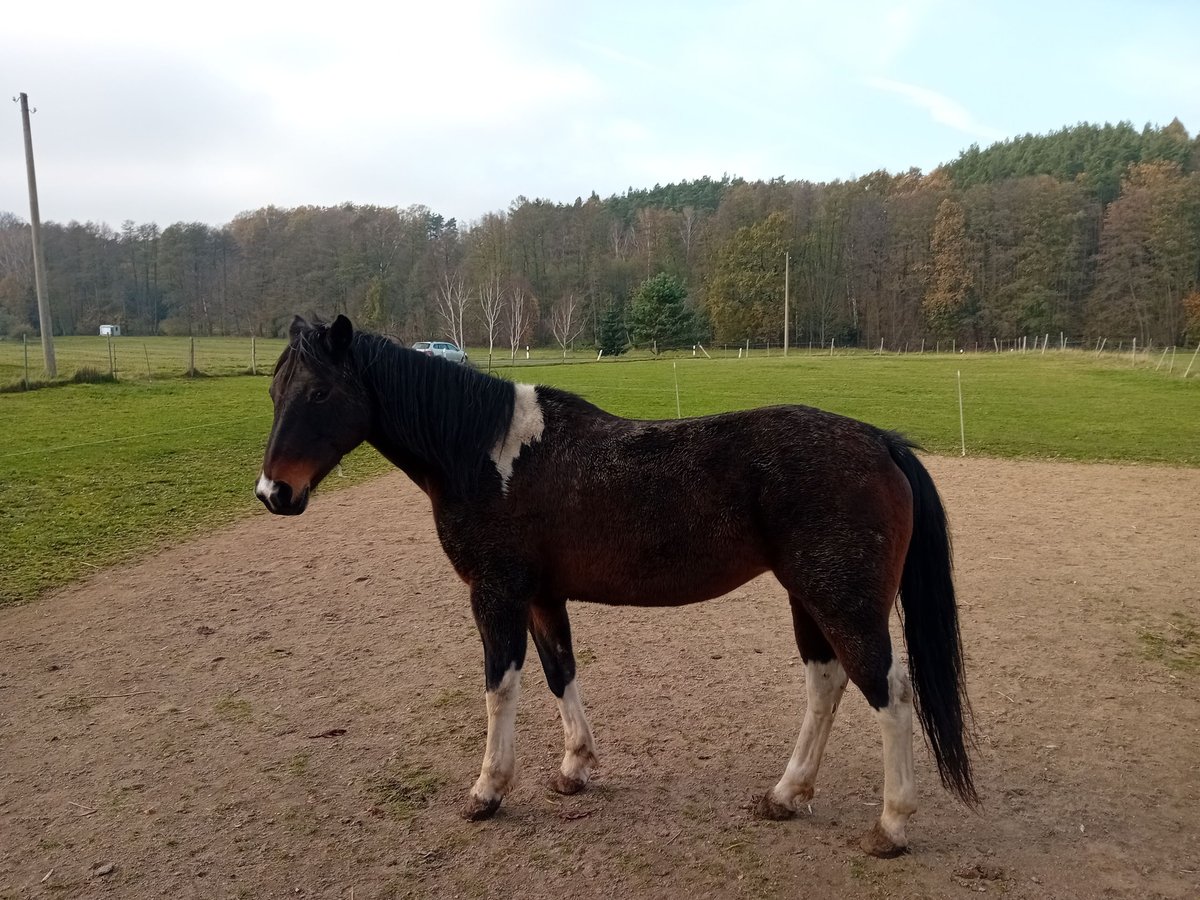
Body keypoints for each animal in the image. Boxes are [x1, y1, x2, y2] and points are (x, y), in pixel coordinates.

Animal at [255, 316, 974, 859]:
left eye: (319, 395)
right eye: (275, 391)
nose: (272, 493)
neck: (486, 454)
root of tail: (879, 441)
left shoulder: (495, 593)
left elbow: (500, 687)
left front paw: (488, 790)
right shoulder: (542, 597)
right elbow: (560, 672)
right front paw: (574, 768)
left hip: (842, 601)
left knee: (889, 691)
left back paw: (890, 826)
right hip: (810, 599)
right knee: (827, 682)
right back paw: (785, 795)